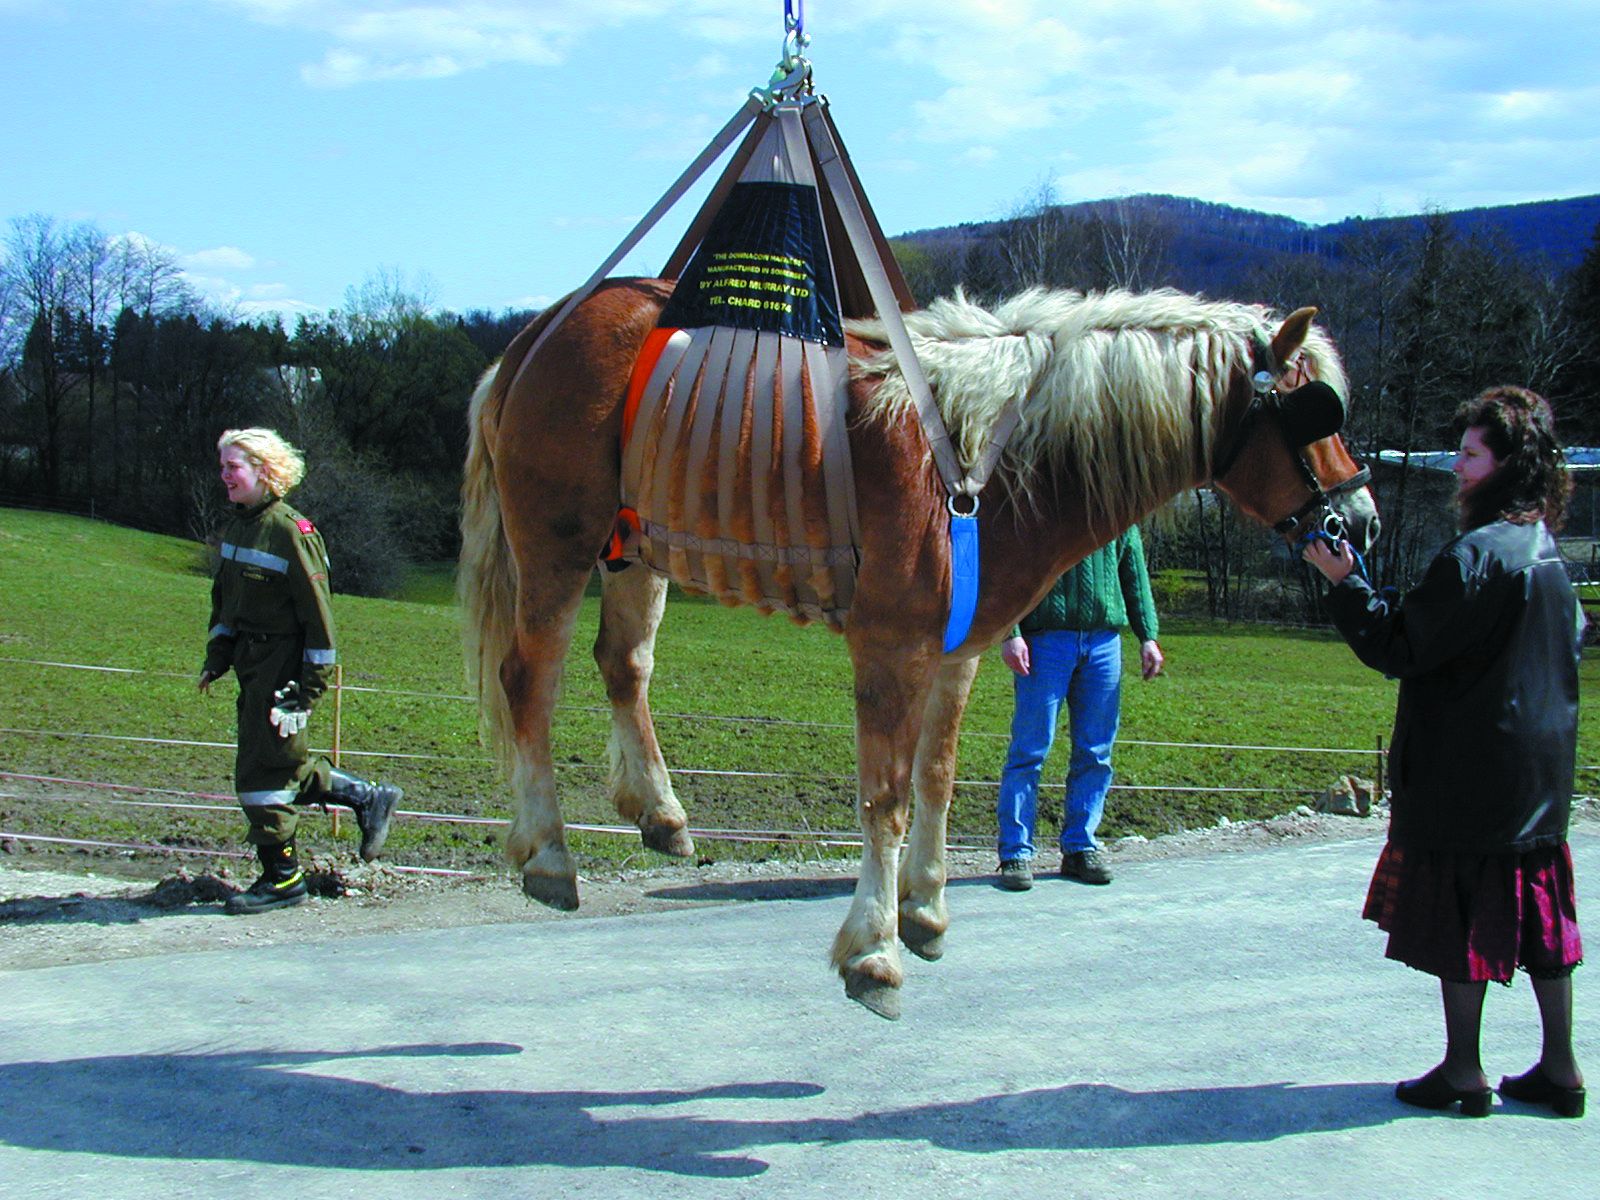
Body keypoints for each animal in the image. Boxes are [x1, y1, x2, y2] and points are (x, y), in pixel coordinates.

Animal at [459, 279, 1379, 1019]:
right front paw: (874, 949)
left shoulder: (958, 649)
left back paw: (659, 810)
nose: (1362, 524)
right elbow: (886, 798)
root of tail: (535, 335)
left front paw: (927, 908)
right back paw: (548, 852)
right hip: (557, 543)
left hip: (636, 550)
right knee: (527, 679)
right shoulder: (892, 647)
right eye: (1315, 410)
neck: (977, 458)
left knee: (624, 664)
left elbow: (937, 776)